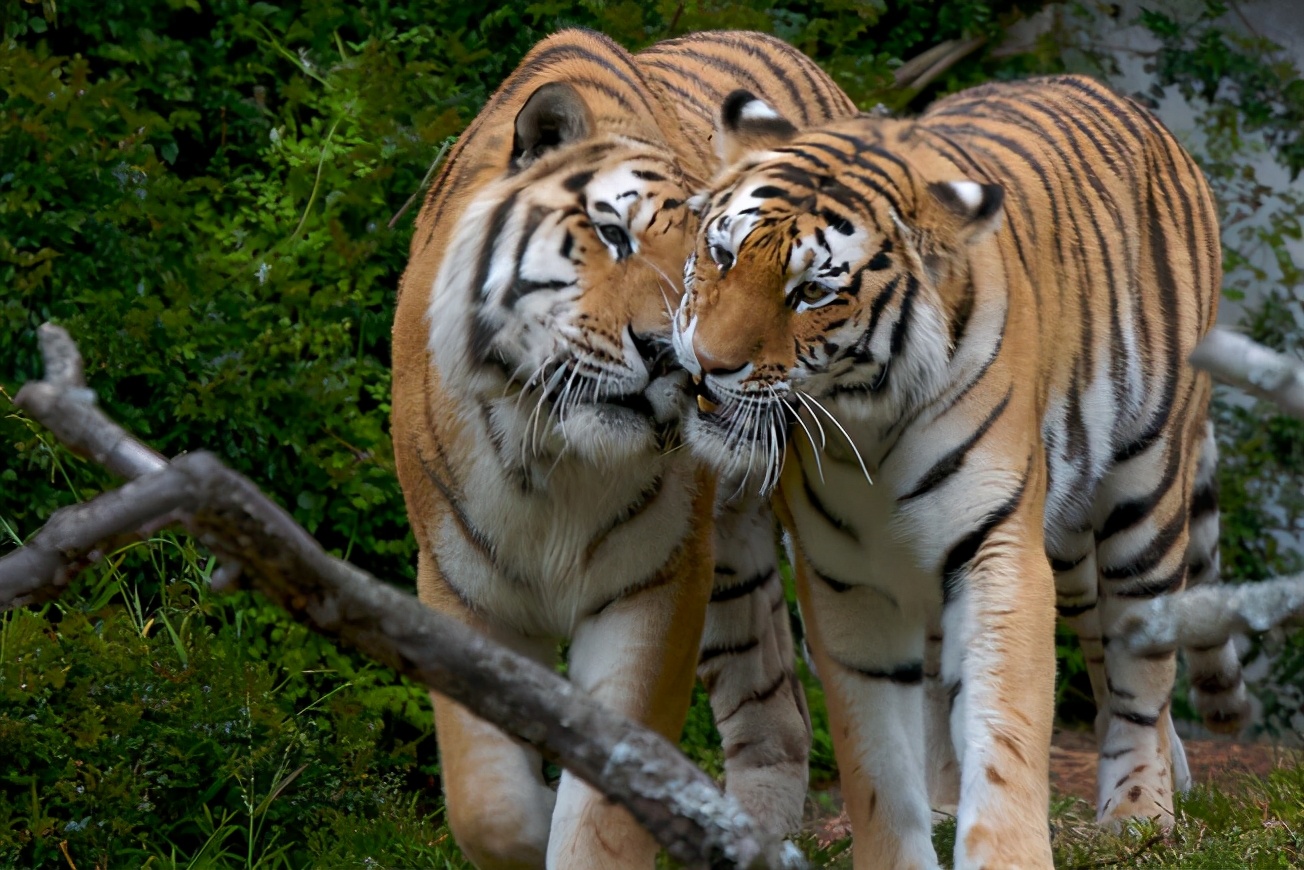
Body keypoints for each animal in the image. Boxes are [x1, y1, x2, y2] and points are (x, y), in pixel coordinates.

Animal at [390, 28, 853, 868]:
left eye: (715, 261)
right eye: (612, 234)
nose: (672, 355)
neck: (552, 456)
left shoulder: (656, 586)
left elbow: (604, 815)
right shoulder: (461, 585)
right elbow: (487, 805)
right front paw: (532, 816)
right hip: (732, 566)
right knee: (775, 710)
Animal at [669, 75, 1250, 869]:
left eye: (812, 293)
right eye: (722, 254)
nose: (706, 365)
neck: (866, 424)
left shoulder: (998, 550)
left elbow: (1005, 731)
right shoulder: (845, 579)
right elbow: (878, 758)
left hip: (1144, 498)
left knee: (1141, 668)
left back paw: (1139, 810)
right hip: (1062, 541)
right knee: (1091, 652)